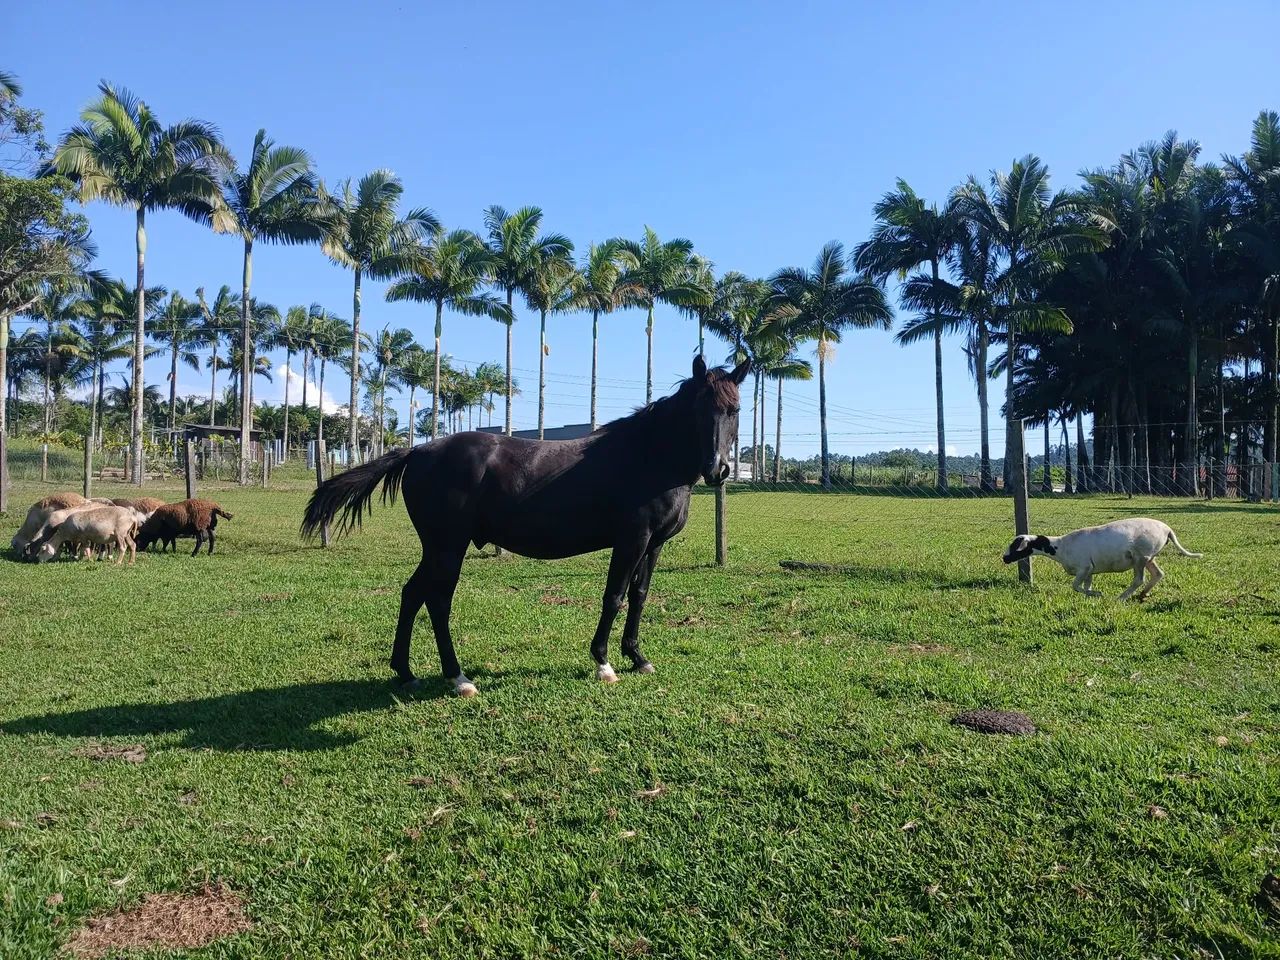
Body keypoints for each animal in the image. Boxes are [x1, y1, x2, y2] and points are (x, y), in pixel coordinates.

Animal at [302, 355, 749, 696]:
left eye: (734, 410)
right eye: (698, 410)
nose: (719, 470)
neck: (650, 456)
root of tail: (418, 450)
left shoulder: (653, 544)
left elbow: (638, 597)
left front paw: (637, 658)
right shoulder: (631, 540)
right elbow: (614, 597)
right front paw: (603, 663)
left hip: (436, 548)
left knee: (413, 594)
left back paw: (406, 672)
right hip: (448, 547)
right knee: (438, 601)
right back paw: (458, 677)